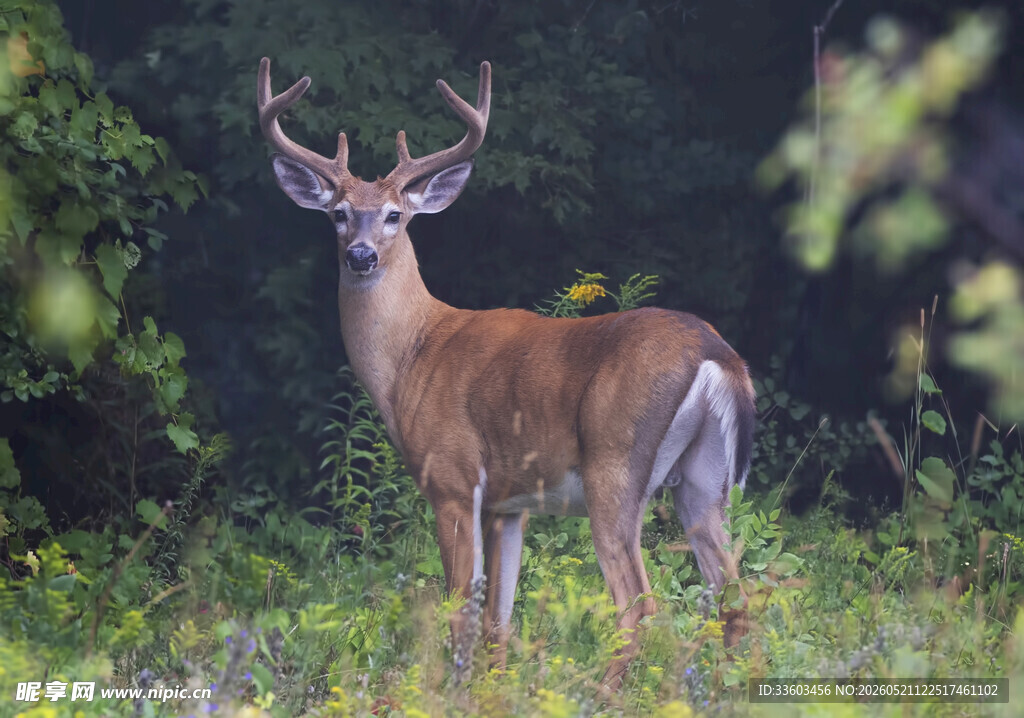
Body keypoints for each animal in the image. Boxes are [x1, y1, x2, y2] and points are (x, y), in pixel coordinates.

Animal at [257, 57, 755, 690]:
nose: (361, 255)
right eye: (338, 214)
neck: (412, 357)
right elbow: (498, 618)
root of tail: (718, 355)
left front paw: (452, 691)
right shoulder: (507, 503)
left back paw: (599, 692)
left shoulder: (451, 478)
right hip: (705, 482)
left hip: (615, 466)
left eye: (396, 215)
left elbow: (460, 610)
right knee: (735, 599)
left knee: (639, 607)